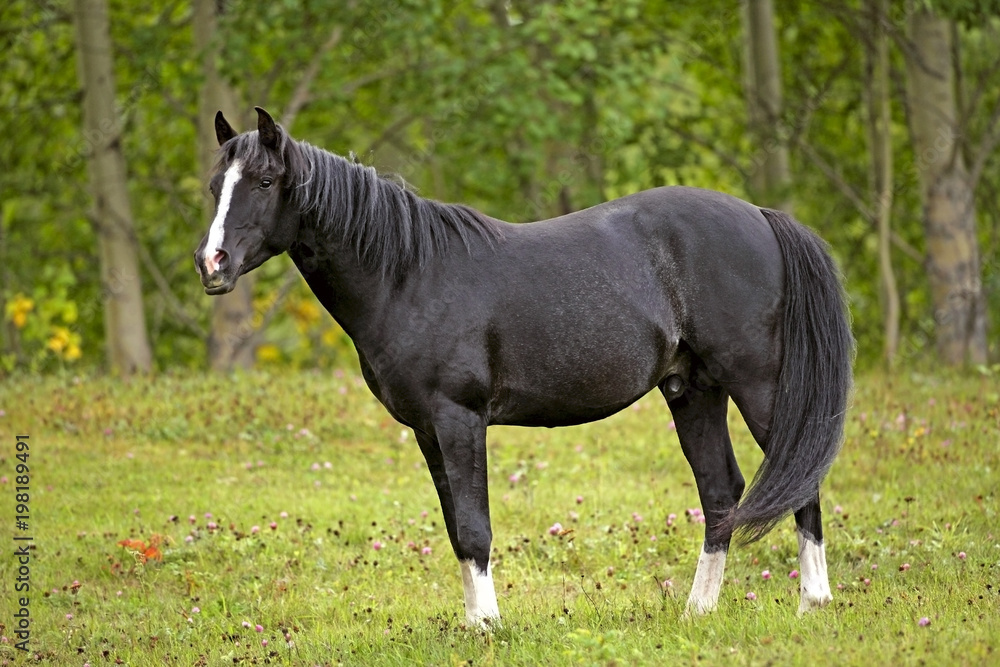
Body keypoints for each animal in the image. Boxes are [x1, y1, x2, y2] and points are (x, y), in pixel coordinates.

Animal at [195, 107, 853, 627]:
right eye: (214, 185)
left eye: (266, 180)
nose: (212, 263)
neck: (408, 273)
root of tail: (761, 216)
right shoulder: (428, 431)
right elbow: (456, 529)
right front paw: (472, 623)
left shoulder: (459, 419)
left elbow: (475, 527)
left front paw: (489, 625)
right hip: (693, 389)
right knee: (721, 492)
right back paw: (699, 610)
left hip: (757, 383)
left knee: (801, 473)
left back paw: (814, 602)